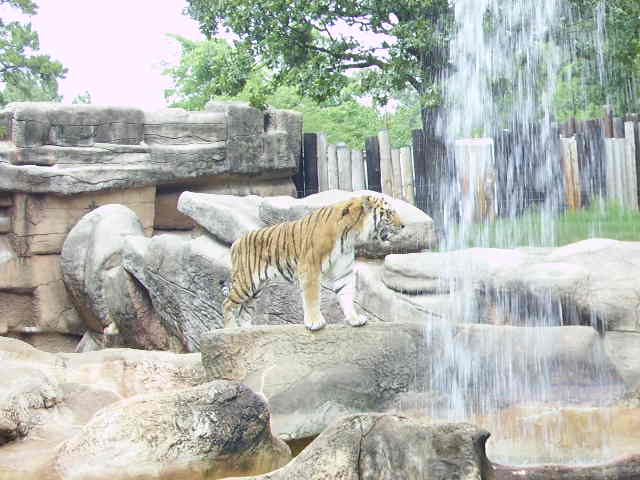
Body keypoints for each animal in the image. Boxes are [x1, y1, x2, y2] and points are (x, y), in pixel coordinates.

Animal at [222, 195, 405, 331]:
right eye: (389, 213)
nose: (403, 225)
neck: (351, 233)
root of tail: (236, 242)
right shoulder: (310, 266)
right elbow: (312, 296)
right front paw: (315, 322)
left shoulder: (343, 271)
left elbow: (346, 296)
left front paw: (354, 319)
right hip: (246, 282)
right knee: (227, 303)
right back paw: (230, 329)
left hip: (257, 289)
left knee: (245, 311)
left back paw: (248, 330)